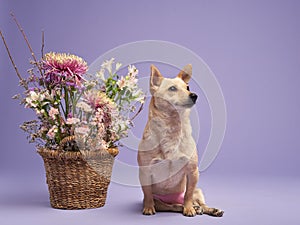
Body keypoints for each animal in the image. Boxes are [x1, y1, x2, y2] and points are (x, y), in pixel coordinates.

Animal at [137, 64, 224, 217]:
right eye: (172, 88)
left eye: (188, 87)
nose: (194, 95)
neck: (173, 127)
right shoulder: (145, 172)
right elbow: (147, 193)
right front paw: (148, 208)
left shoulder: (193, 172)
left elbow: (188, 194)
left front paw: (189, 209)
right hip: (161, 202)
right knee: (172, 206)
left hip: (198, 191)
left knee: (196, 201)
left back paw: (206, 209)